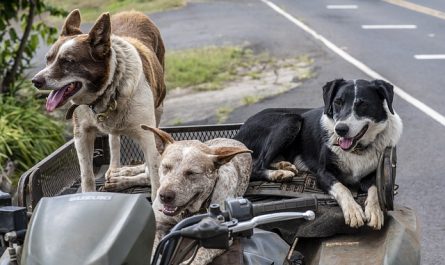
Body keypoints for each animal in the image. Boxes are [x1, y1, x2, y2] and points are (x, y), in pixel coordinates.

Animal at [32, 10, 166, 198]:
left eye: (68, 61)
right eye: (48, 59)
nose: (35, 81)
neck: (108, 90)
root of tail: (133, 11)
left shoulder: (147, 136)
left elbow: (155, 178)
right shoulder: (82, 134)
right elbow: (87, 175)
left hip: (159, 107)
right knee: (114, 138)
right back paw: (115, 170)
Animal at [142, 125, 251, 264]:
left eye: (191, 173)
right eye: (166, 167)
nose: (165, 196)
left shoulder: (222, 235)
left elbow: (201, 254)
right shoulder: (158, 224)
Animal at [236, 79, 402, 229]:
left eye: (363, 104)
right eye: (338, 102)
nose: (340, 129)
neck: (357, 149)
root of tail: (239, 132)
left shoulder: (374, 174)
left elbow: (375, 189)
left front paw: (375, 211)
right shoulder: (322, 173)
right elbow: (343, 188)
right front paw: (353, 211)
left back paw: (284, 166)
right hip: (290, 120)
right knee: (256, 166)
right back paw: (279, 174)